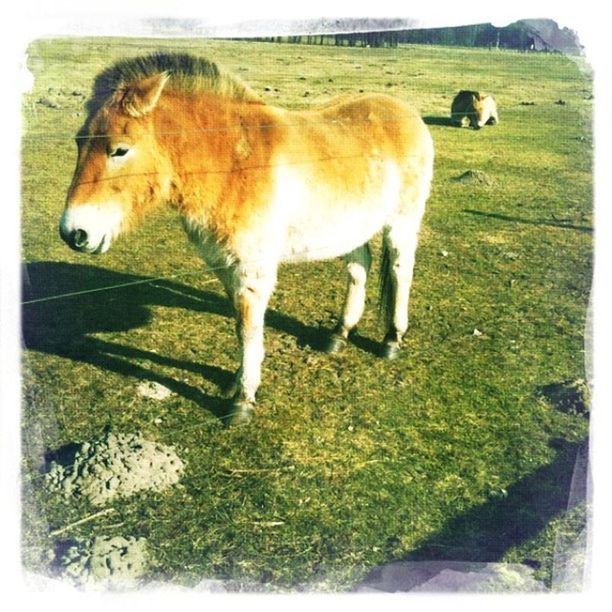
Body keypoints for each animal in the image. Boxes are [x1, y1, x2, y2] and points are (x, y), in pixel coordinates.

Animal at [58, 52, 436, 424]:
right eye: (79, 142)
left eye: (120, 150)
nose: (74, 233)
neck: (234, 161)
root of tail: (405, 111)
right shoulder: (227, 267)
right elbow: (241, 326)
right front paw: (237, 383)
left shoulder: (252, 271)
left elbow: (249, 329)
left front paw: (243, 400)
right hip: (354, 226)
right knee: (359, 268)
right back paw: (340, 333)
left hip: (402, 222)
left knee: (401, 270)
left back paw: (392, 339)